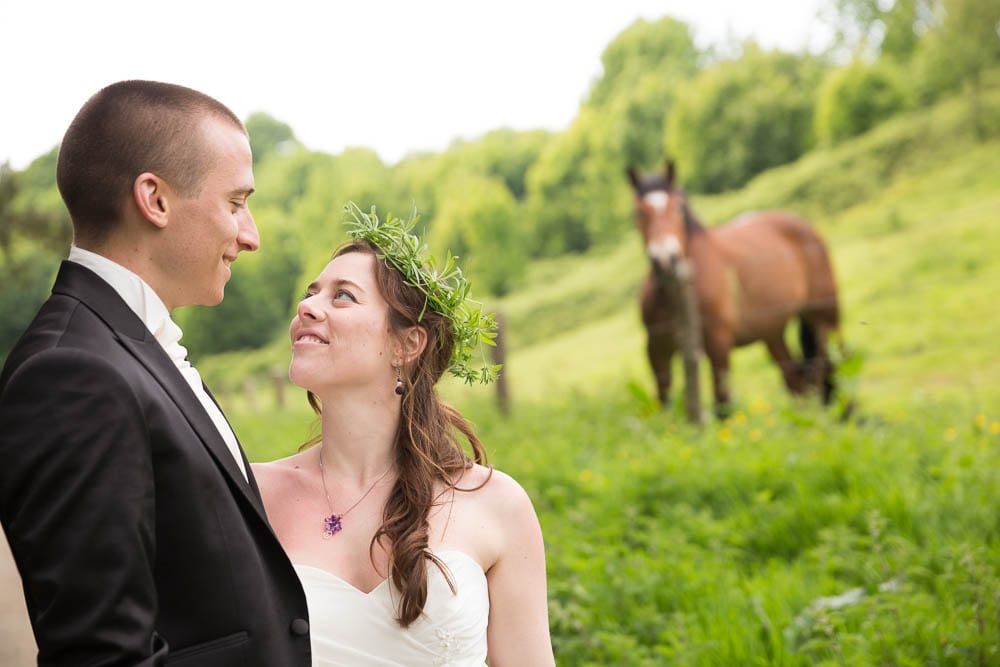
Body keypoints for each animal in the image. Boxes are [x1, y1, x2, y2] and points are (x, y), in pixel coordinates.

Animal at [628, 161, 840, 418]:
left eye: (676, 207)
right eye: (638, 213)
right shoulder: (657, 350)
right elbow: (663, 404)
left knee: (830, 366)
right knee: (797, 380)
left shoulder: (719, 344)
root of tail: (803, 224)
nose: (665, 259)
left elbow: (723, 406)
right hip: (773, 333)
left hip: (825, 319)